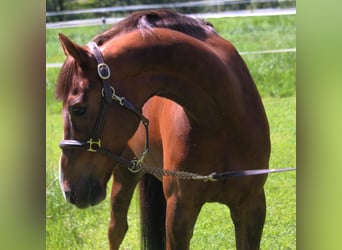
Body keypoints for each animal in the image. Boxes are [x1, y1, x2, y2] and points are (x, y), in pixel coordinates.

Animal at [56, 8, 270, 249]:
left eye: (78, 109)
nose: (68, 189)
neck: (221, 120)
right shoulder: (180, 212)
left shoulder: (251, 208)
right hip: (124, 173)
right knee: (116, 229)